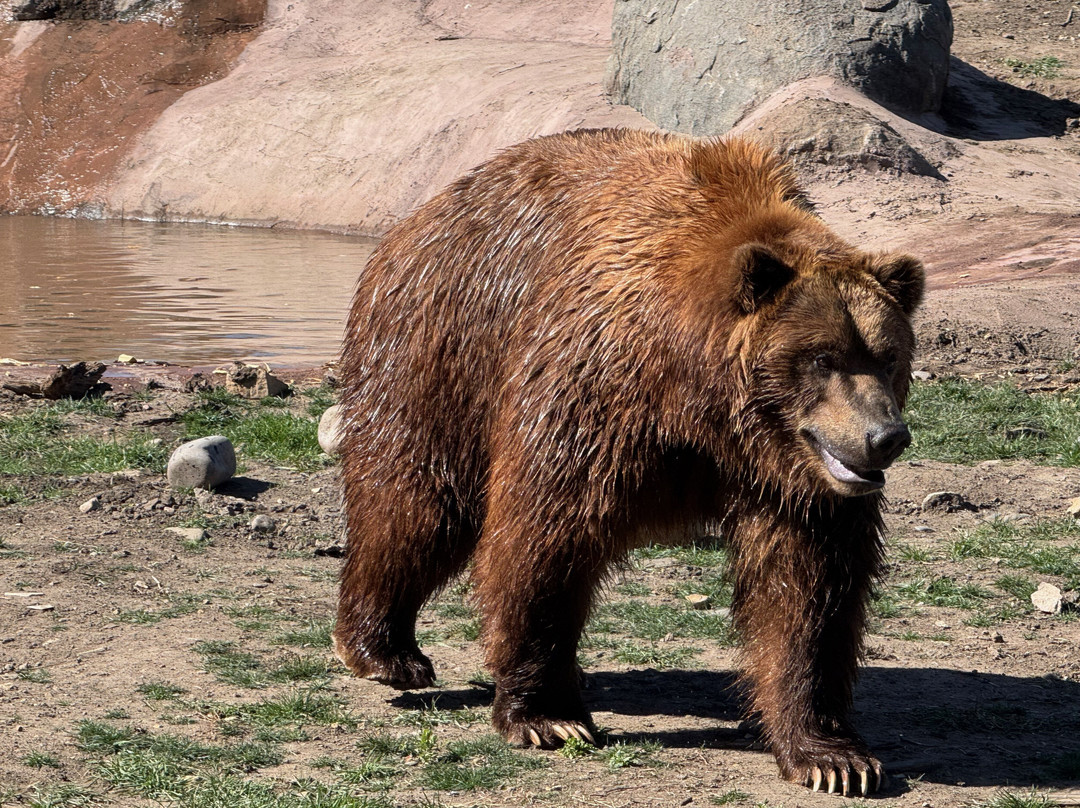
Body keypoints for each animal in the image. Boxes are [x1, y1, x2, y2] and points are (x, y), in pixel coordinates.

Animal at [332, 128, 923, 797]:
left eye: (887, 355)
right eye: (823, 357)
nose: (884, 437)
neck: (697, 397)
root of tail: (413, 221)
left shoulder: (791, 481)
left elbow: (809, 586)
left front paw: (833, 757)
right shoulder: (595, 392)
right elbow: (545, 541)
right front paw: (548, 716)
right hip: (439, 349)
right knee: (416, 501)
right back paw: (385, 652)